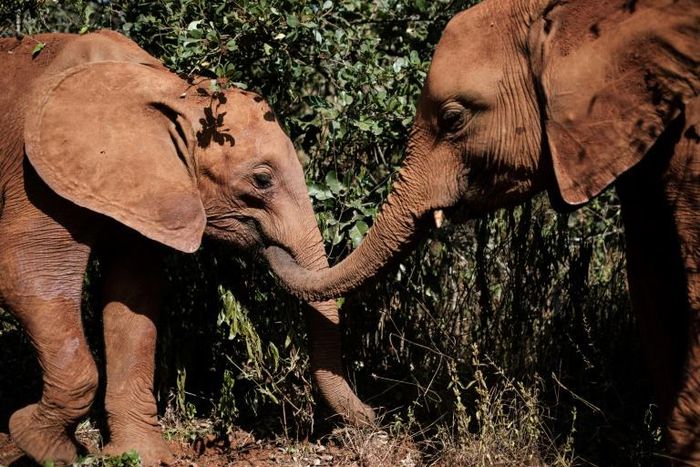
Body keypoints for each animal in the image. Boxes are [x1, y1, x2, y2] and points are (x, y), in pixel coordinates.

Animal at [0, 30, 373, 466]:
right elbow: (28, 272)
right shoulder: (36, 171)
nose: (374, 415)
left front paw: (142, 455)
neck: (173, 91)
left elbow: (135, 294)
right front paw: (46, 447)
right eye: (262, 180)